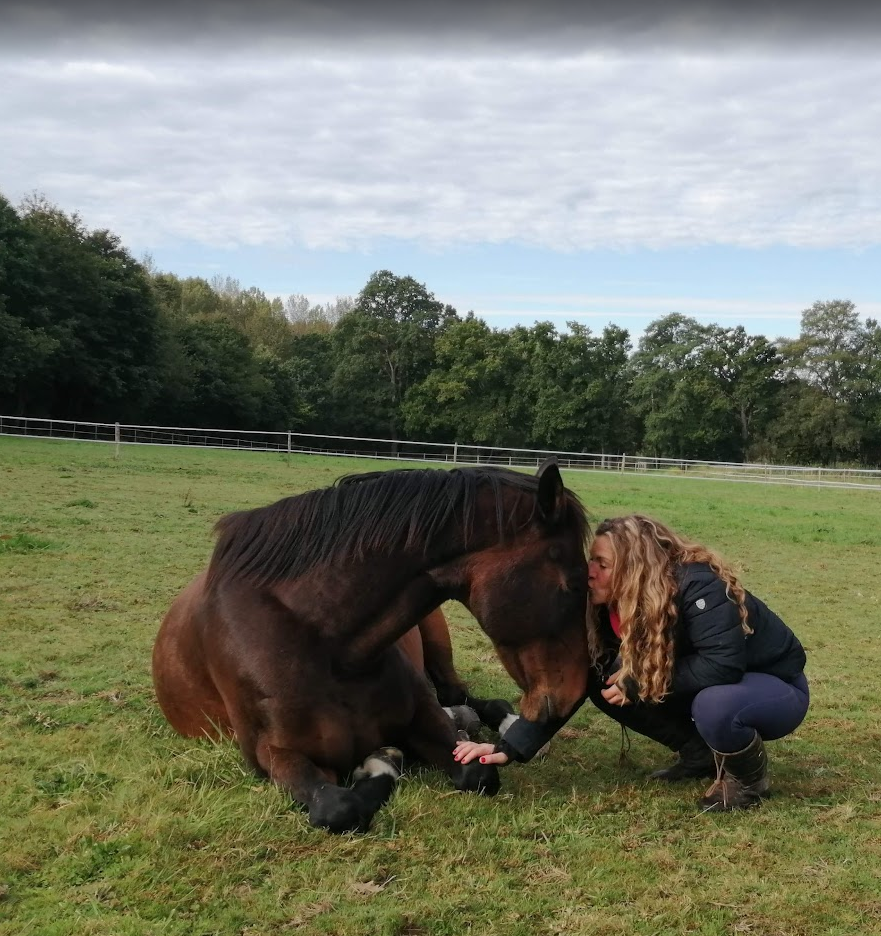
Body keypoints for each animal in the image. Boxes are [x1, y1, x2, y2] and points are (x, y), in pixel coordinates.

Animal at [152, 457, 591, 833]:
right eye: (573, 584)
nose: (576, 692)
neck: (330, 648)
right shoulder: (274, 755)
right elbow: (340, 807)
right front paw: (380, 761)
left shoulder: (423, 717)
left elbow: (479, 773)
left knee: (464, 698)